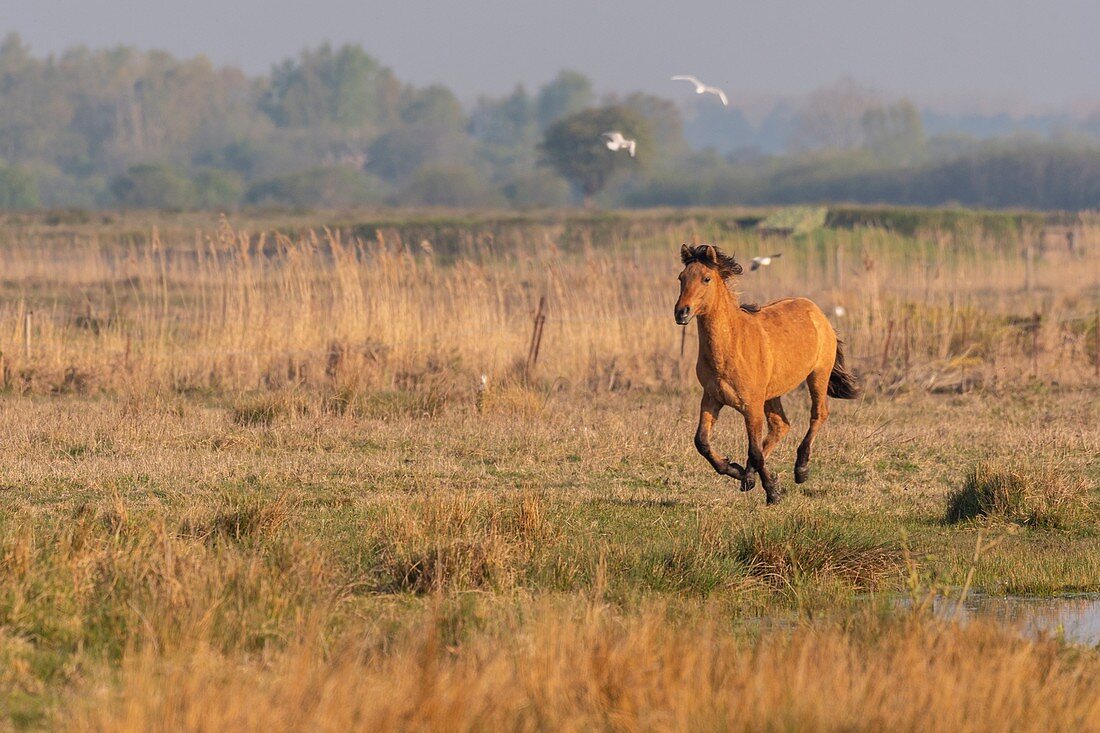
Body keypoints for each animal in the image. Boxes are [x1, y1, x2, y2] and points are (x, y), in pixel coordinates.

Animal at [668, 244, 858, 501]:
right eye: (681, 278)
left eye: (706, 278)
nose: (682, 313)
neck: (732, 344)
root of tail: (818, 312)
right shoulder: (711, 398)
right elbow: (702, 442)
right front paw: (735, 470)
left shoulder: (752, 406)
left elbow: (755, 451)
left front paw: (772, 491)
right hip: (772, 394)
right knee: (781, 425)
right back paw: (748, 476)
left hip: (817, 375)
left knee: (818, 414)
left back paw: (800, 469)